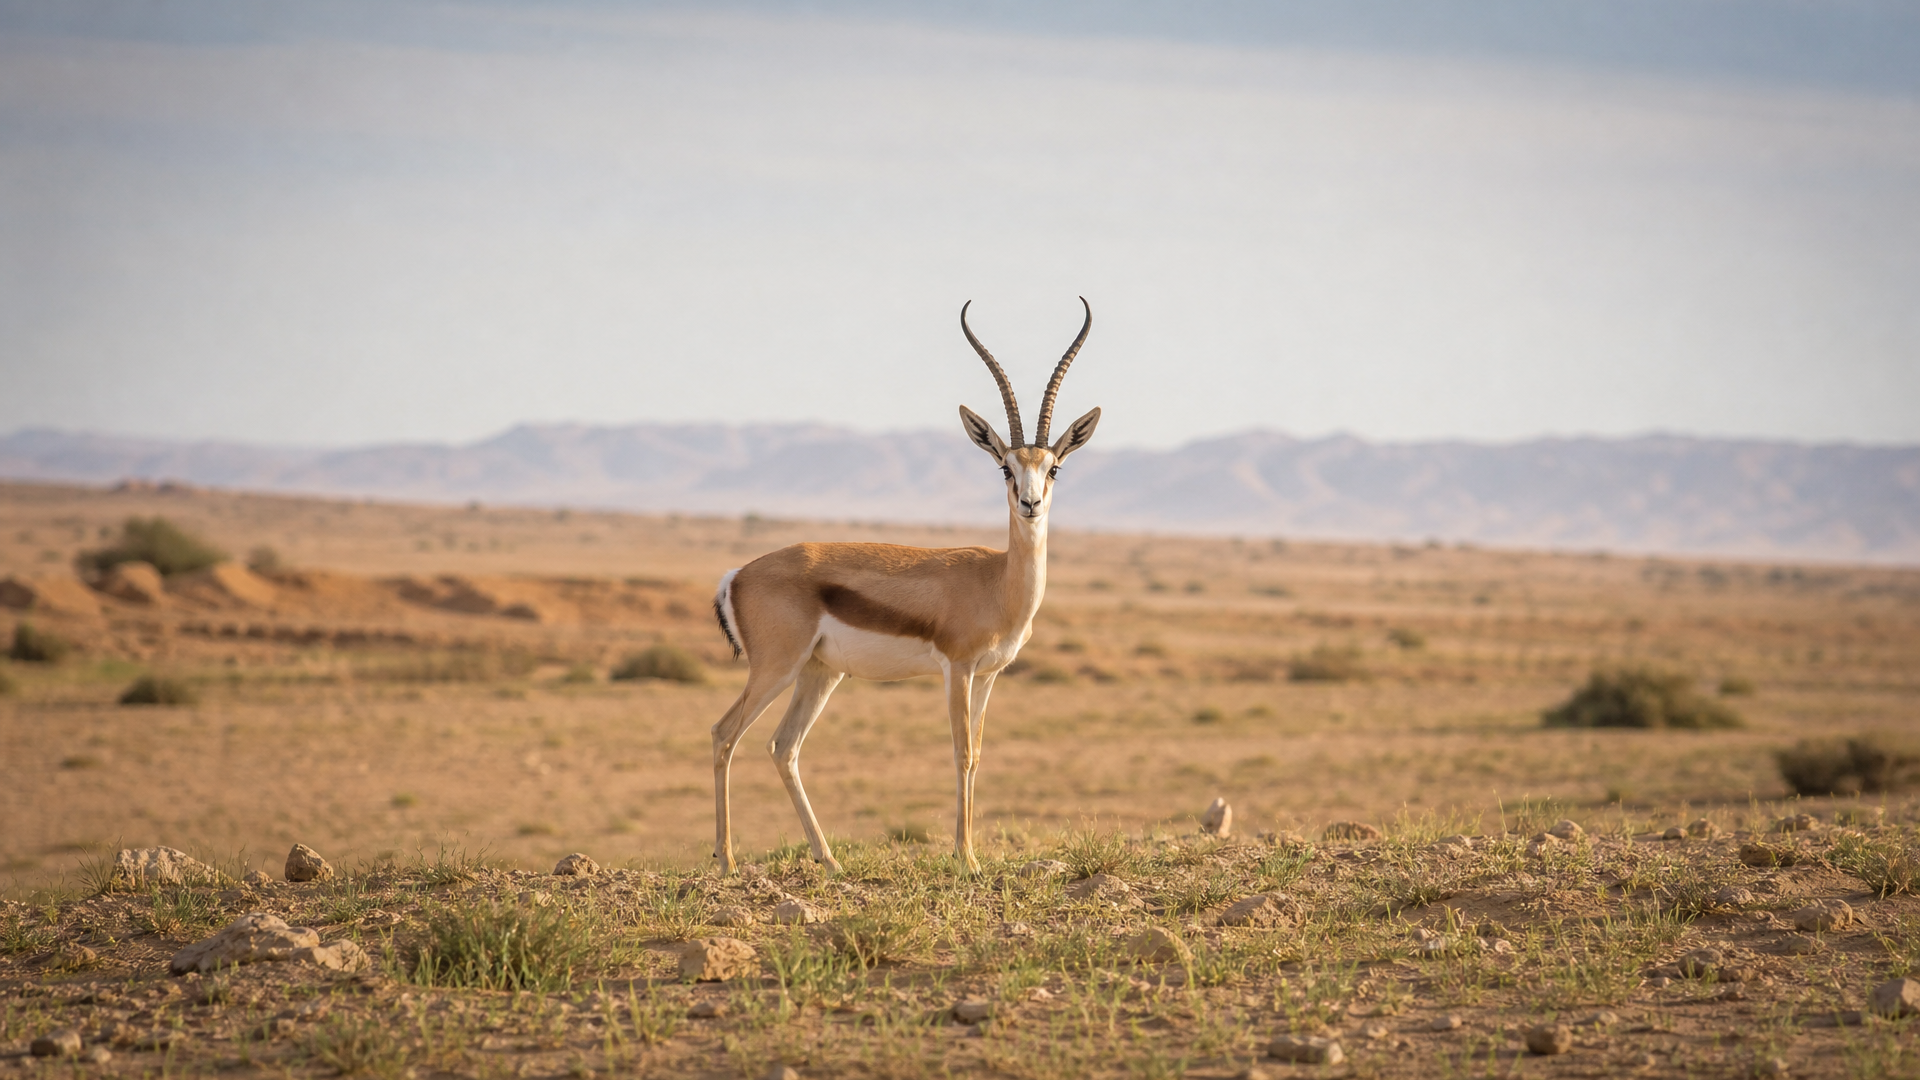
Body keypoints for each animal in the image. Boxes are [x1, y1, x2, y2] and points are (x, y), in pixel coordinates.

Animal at [709, 299, 1102, 874]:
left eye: (1053, 469)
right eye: (1005, 468)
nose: (1030, 504)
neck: (997, 585)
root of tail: (736, 576)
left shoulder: (989, 675)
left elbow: (977, 755)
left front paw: (970, 853)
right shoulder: (957, 668)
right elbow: (961, 752)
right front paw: (967, 859)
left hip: (820, 673)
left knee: (783, 747)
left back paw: (829, 861)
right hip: (776, 668)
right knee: (724, 735)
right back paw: (727, 860)